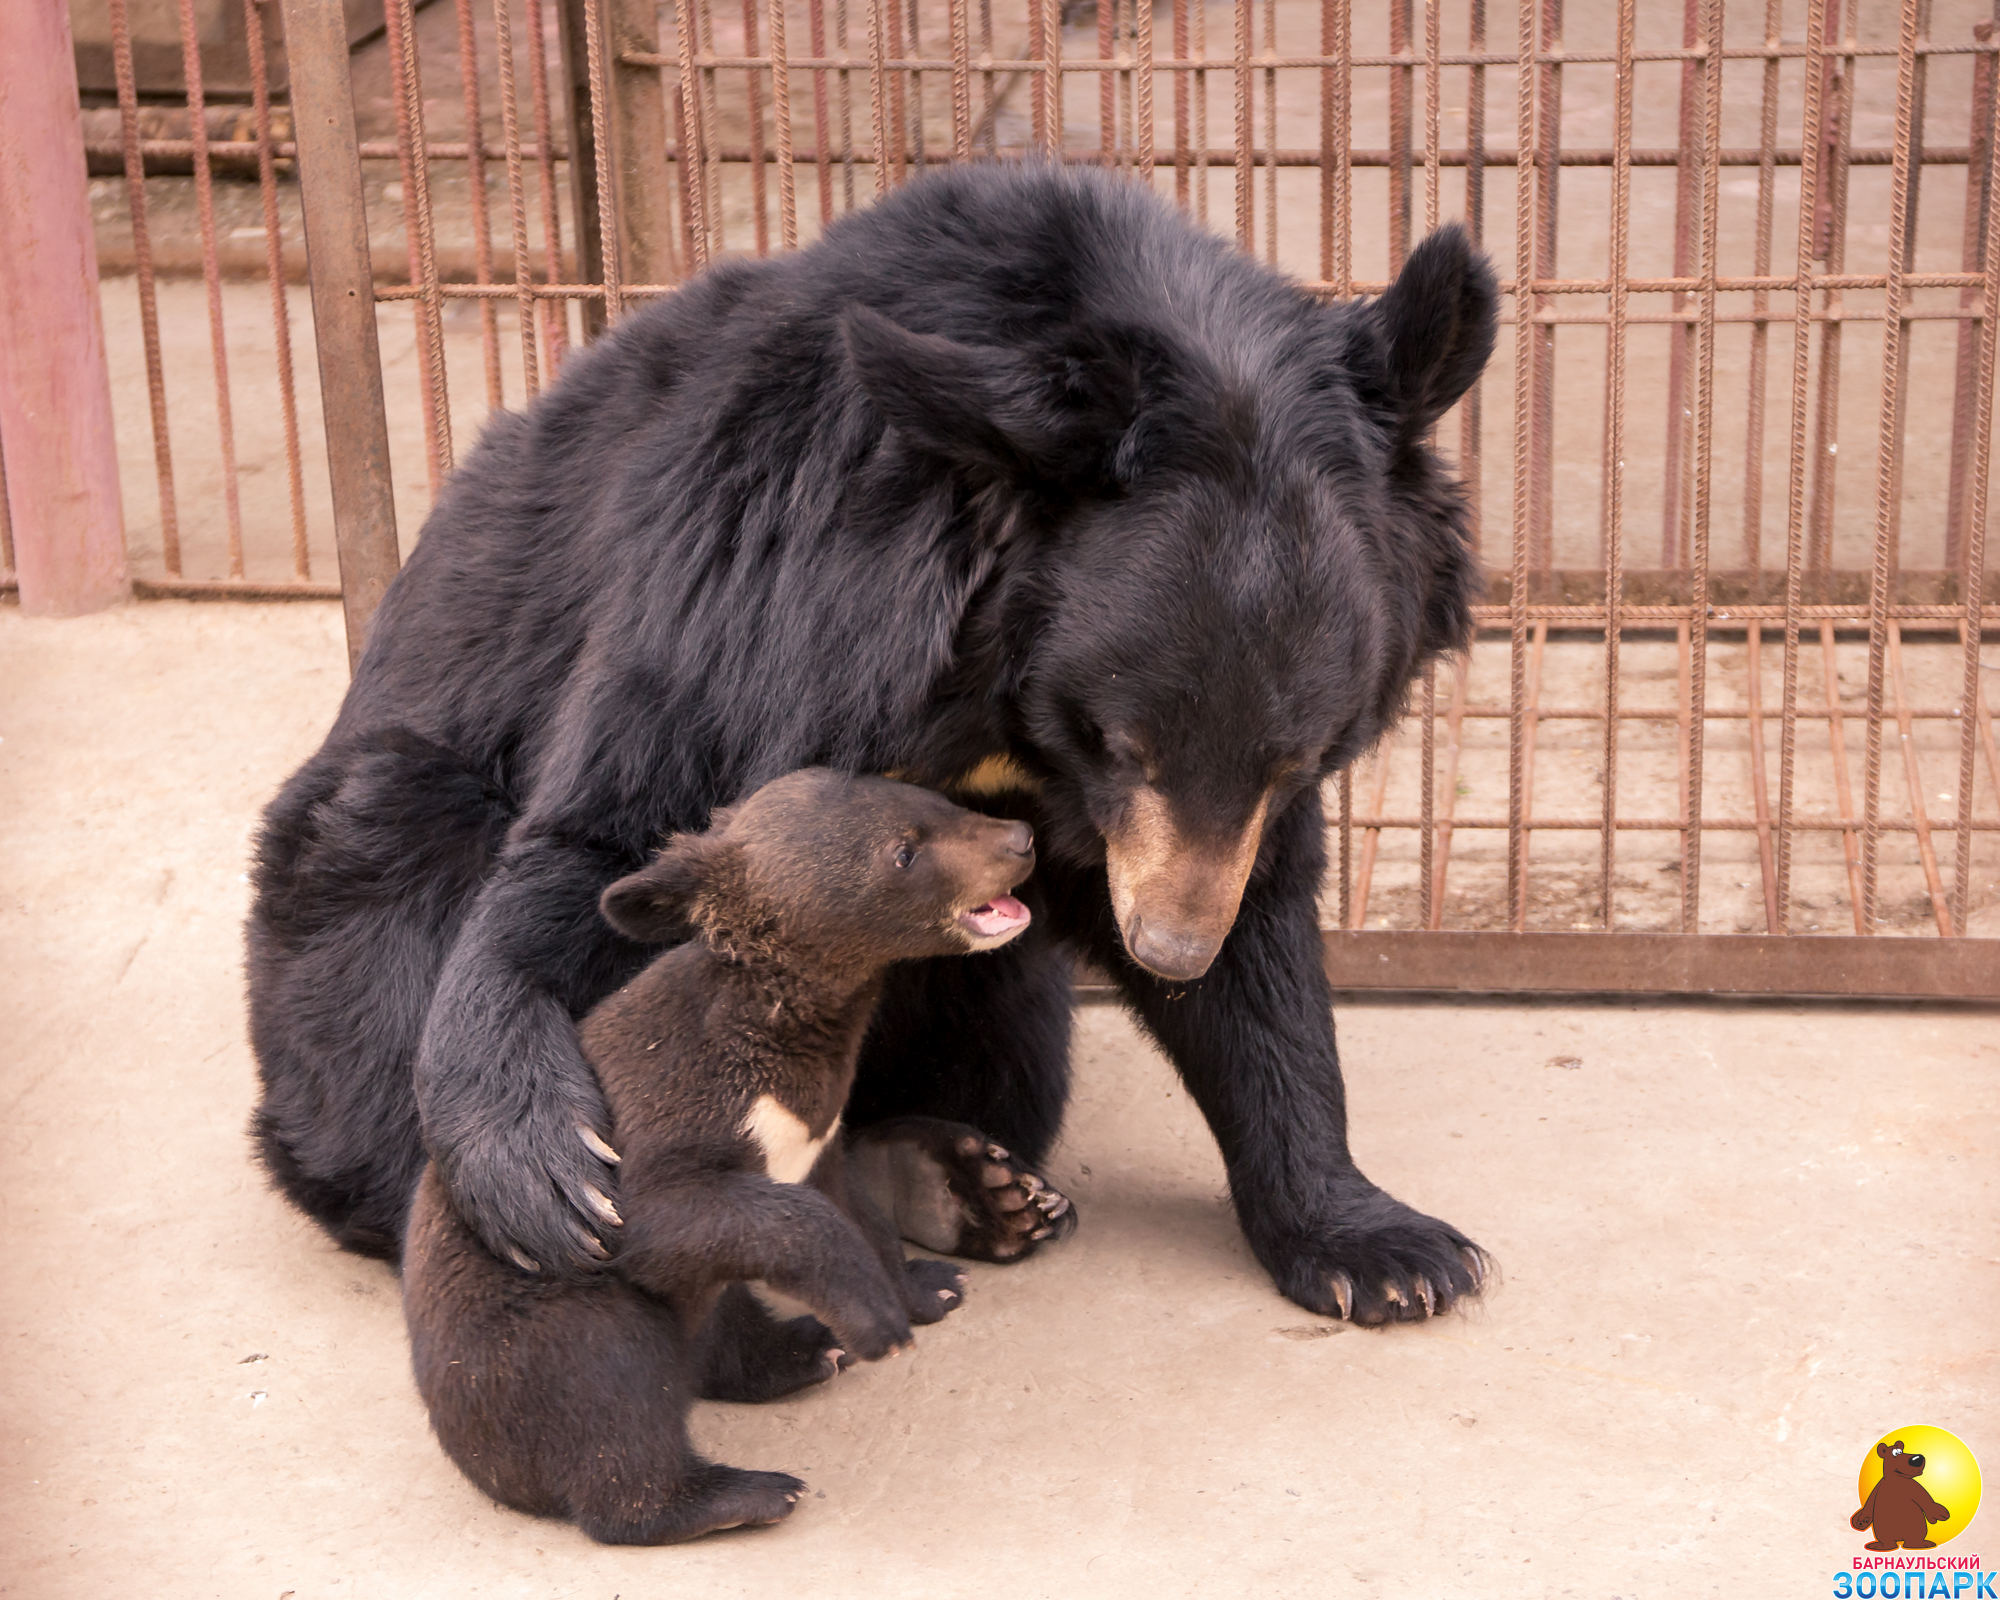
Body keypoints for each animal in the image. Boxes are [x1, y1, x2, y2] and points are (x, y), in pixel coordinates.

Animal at [250, 159, 1496, 1328]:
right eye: (1120, 741)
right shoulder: (769, 572)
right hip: (378, 824)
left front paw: (1384, 1252)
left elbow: (1266, 946)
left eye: (1303, 754)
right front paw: (543, 1167)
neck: (1002, 683)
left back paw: (954, 1178)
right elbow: (618, 825)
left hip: (1003, 989)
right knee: (382, 934)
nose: (1168, 948)